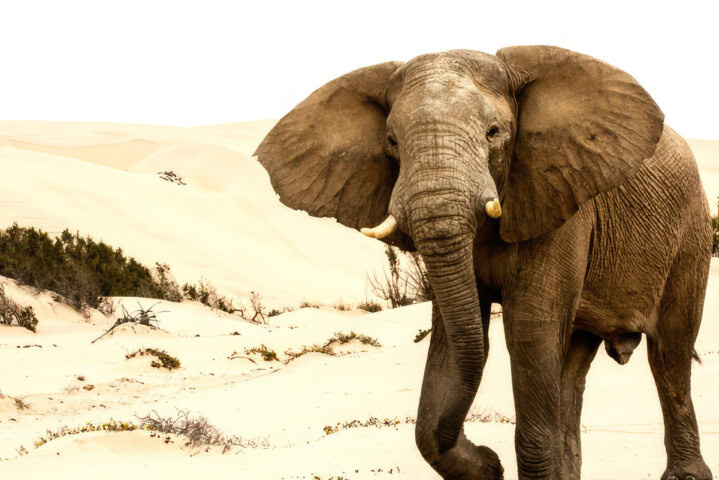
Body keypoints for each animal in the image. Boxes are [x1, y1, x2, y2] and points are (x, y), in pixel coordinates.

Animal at [254, 46, 713, 480]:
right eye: (391, 142)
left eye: (494, 133)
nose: (488, 456)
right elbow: (455, 338)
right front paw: (486, 467)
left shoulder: (558, 199)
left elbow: (529, 331)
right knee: (574, 366)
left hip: (690, 234)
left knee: (669, 352)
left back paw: (686, 475)